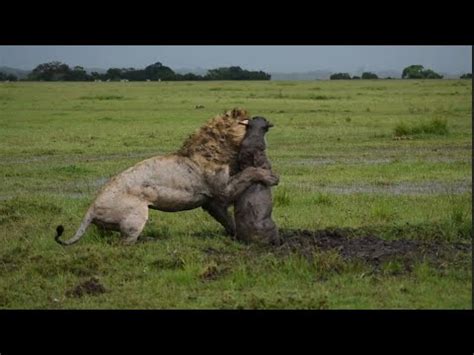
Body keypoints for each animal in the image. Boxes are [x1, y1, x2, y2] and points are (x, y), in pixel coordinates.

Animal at [55, 110, 278, 246]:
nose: (261, 120)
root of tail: (91, 208)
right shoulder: (223, 191)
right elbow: (248, 173)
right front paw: (270, 176)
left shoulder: (212, 202)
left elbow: (227, 220)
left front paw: (235, 235)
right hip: (136, 216)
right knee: (122, 243)